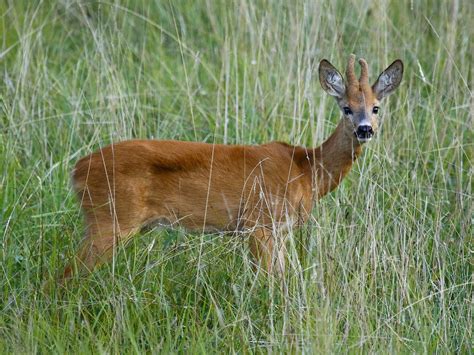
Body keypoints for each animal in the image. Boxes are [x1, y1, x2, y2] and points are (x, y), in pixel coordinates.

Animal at [62, 55, 404, 284]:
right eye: (346, 107)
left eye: (376, 107)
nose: (364, 129)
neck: (307, 170)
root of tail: (77, 170)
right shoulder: (259, 223)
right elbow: (271, 283)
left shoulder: (277, 231)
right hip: (110, 219)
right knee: (63, 277)